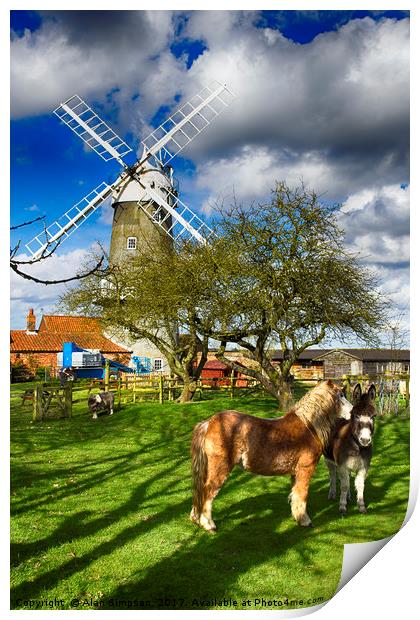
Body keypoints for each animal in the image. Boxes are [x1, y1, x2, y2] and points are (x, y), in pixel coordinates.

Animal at [190, 380, 352, 532]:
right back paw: (208, 524)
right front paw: (305, 520)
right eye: (340, 396)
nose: (352, 412)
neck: (309, 426)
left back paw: (196, 519)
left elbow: (295, 495)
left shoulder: (295, 473)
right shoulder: (305, 469)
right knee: (208, 491)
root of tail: (209, 422)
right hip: (220, 469)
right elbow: (302, 494)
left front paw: (297, 517)